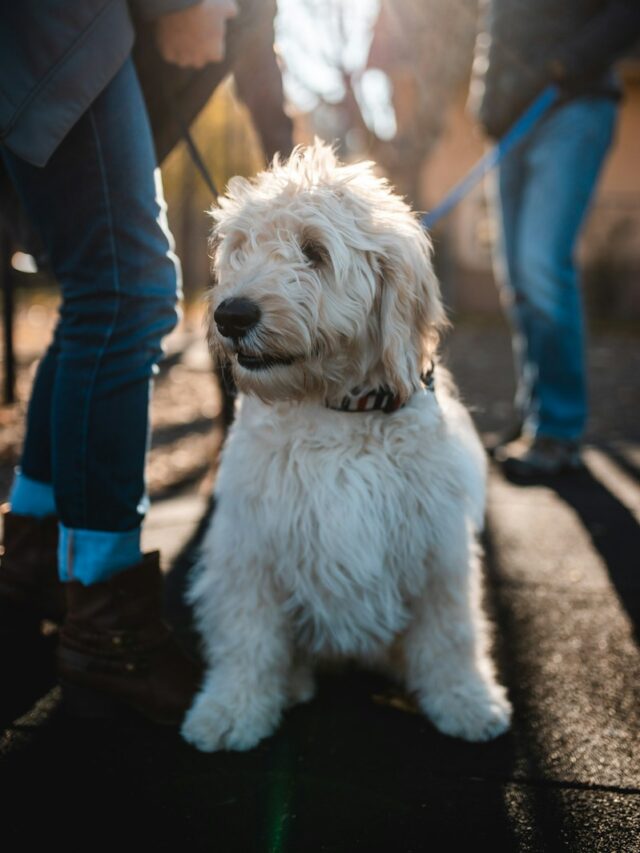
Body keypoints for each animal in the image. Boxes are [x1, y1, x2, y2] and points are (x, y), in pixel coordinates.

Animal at [180, 141, 510, 752]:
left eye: (314, 251)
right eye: (241, 249)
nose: (230, 314)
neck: (338, 411)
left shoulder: (438, 547)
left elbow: (451, 632)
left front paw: (466, 701)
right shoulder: (249, 547)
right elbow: (246, 636)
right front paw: (231, 709)